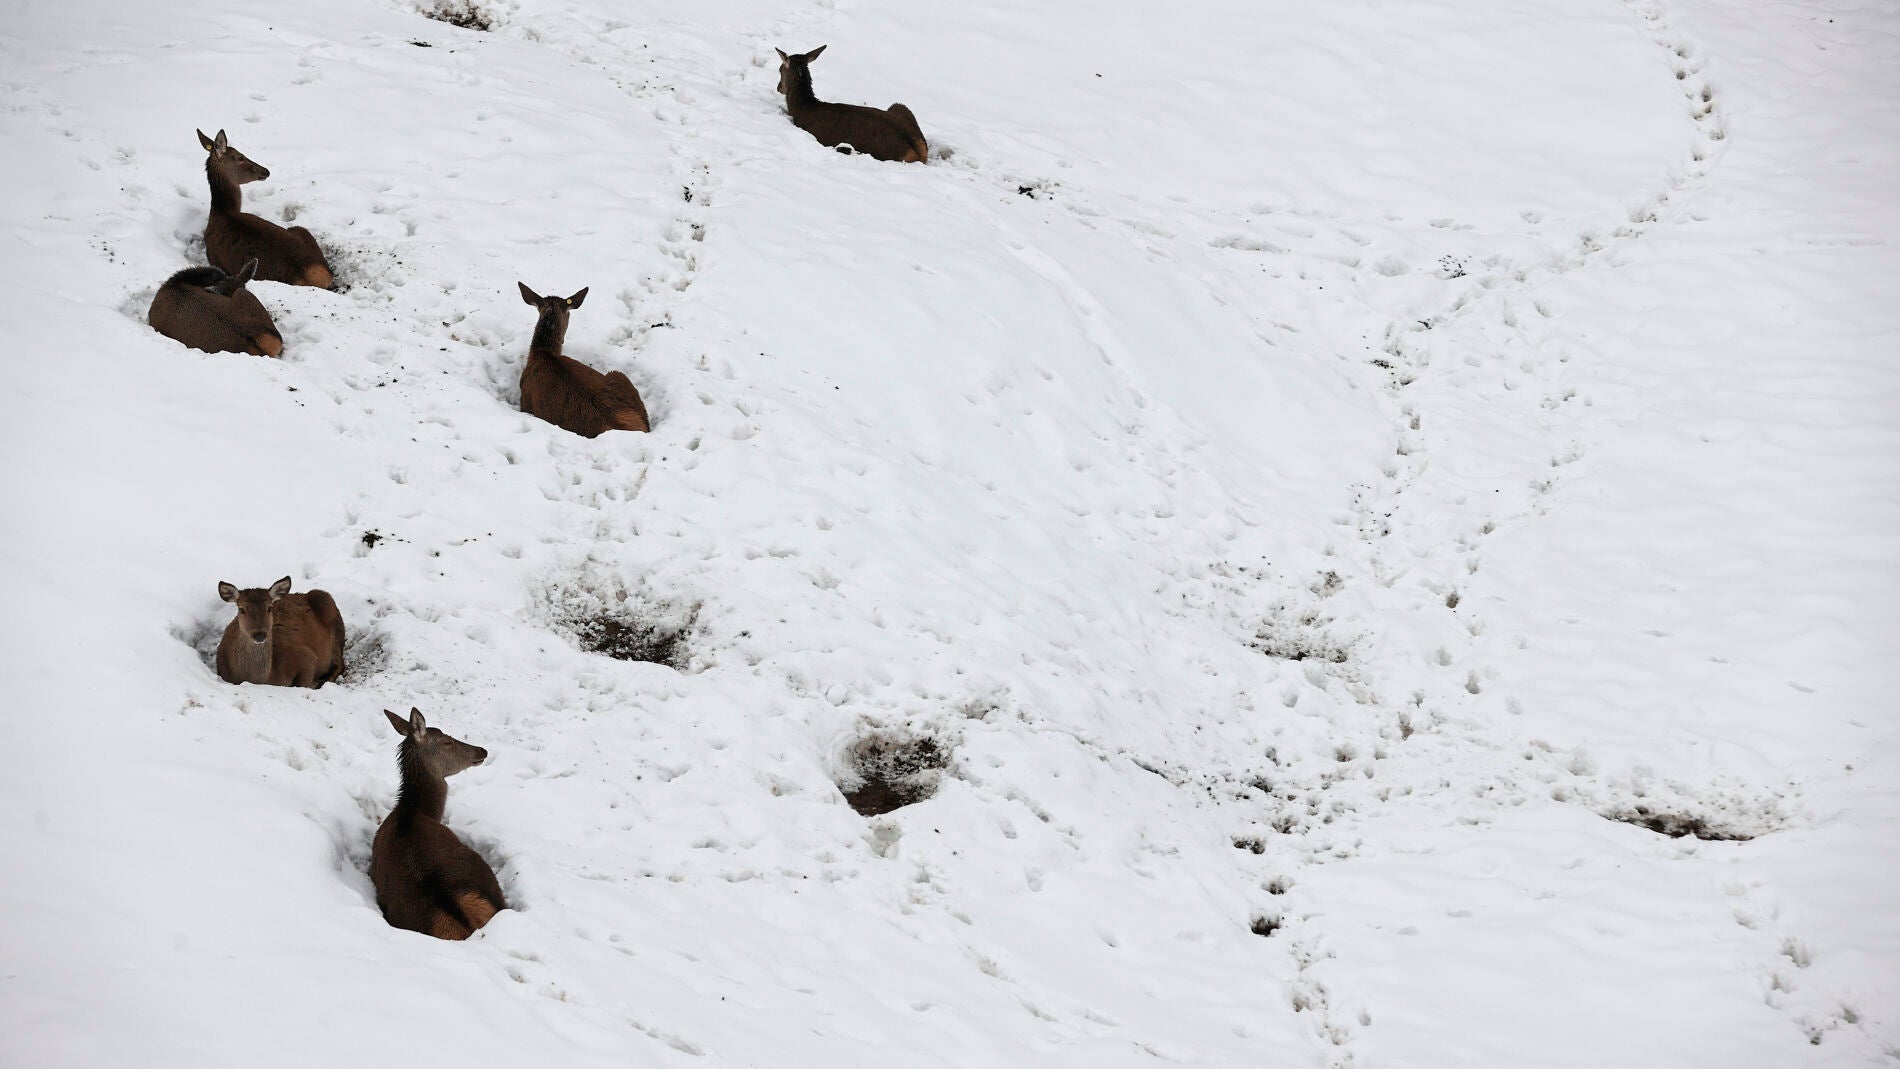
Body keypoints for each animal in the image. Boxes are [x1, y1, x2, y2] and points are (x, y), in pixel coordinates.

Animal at [196, 128, 335, 289]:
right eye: (240, 157)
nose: (266, 171)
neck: (222, 212)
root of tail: (319, 278)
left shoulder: (214, 259)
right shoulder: (214, 258)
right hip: (301, 231)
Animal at [214, 576, 346, 688]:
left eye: (269, 608)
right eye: (241, 609)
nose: (259, 634)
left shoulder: (307, 656)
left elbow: (303, 683)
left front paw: (315, 683)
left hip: (329, 607)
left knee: (340, 664)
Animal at [517, 283, 651, 437]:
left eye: (569, 315)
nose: (562, 339)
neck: (541, 352)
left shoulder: (525, 402)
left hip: (616, 373)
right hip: (621, 378)